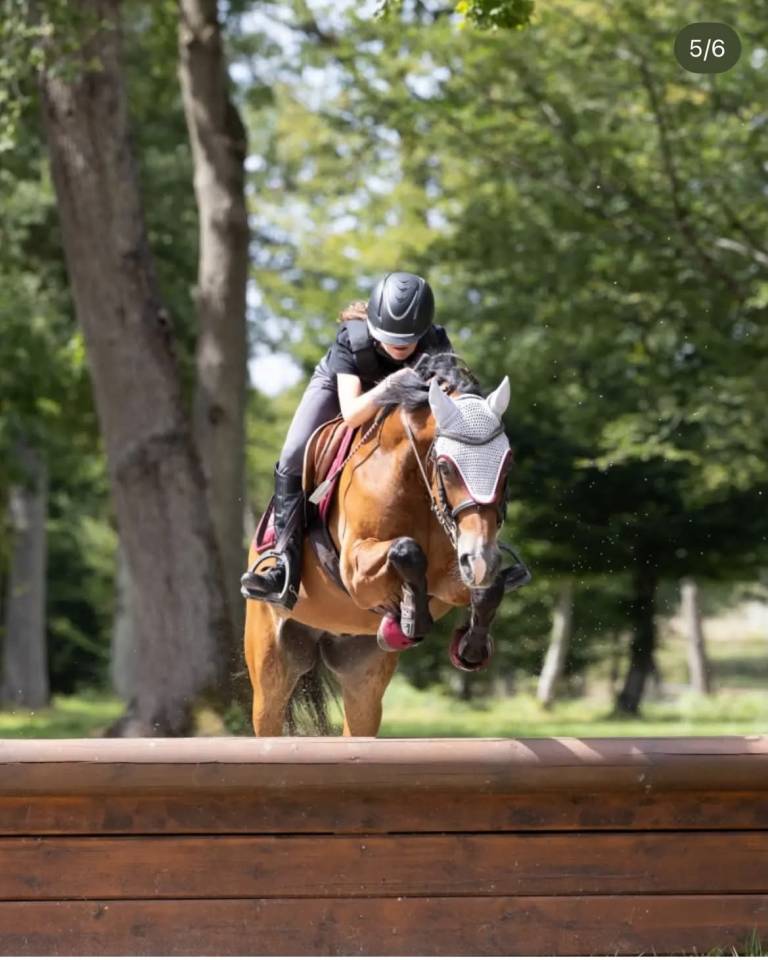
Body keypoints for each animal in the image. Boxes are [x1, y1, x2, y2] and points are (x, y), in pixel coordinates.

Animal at [243, 354, 527, 736]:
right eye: (445, 467)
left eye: (507, 463)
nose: (480, 559)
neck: (415, 480)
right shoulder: (355, 573)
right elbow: (406, 550)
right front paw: (411, 620)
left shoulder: (452, 574)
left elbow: (486, 586)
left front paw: (470, 644)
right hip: (271, 666)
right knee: (268, 716)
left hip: (363, 678)